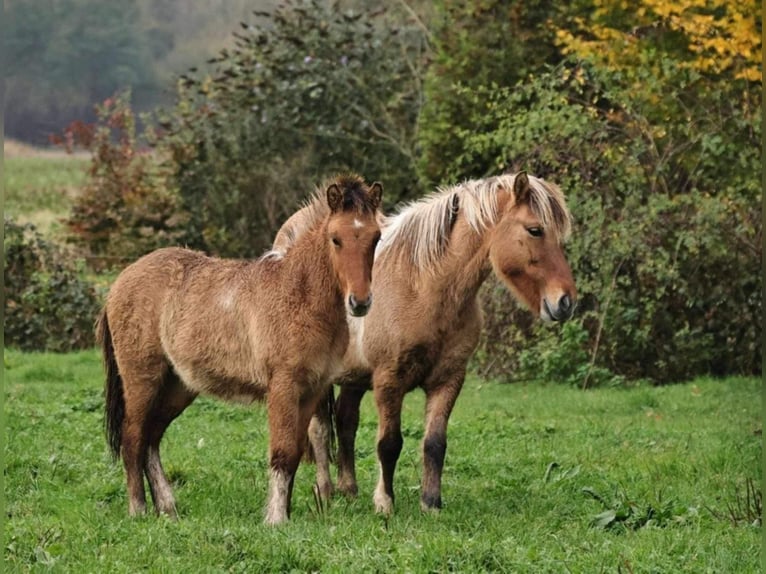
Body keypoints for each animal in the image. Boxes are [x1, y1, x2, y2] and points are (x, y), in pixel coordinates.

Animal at [99, 174, 384, 528]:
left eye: (375, 238)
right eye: (336, 239)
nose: (360, 302)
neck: (298, 295)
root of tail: (119, 282)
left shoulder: (312, 391)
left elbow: (294, 453)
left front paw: (286, 511)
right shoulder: (282, 386)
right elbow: (282, 452)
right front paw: (275, 519)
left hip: (178, 386)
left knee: (152, 438)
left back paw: (168, 508)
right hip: (142, 379)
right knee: (133, 438)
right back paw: (137, 509)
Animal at [274, 173, 576, 516]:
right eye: (535, 230)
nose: (565, 302)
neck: (423, 285)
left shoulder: (449, 379)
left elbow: (434, 443)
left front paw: (431, 502)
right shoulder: (389, 380)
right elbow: (389, 443)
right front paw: (385, 503)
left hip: (354, 379)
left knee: (346, 421)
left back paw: (348, 490)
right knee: (320, 431)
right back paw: (324, 493)